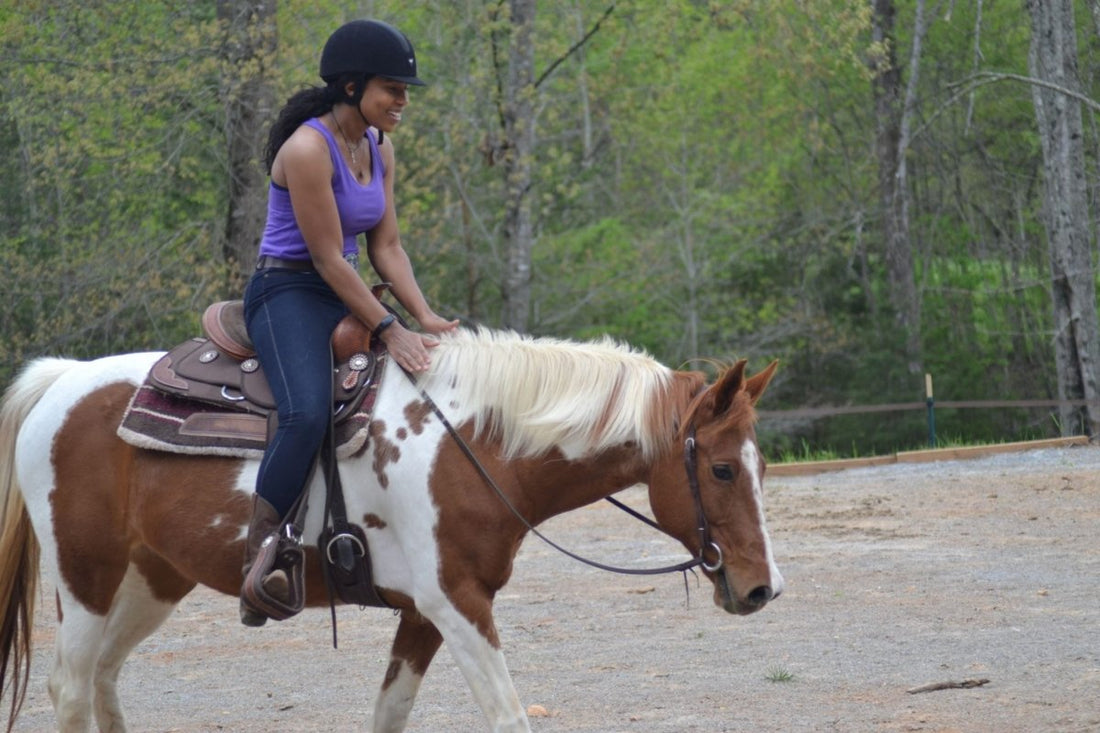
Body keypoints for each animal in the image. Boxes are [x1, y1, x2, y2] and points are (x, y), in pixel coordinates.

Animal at [0, 325, 783, 730]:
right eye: (721, 469)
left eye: (761, 463)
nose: (761, 589)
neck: (473, 444)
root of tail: (63, 380)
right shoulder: (456, 603)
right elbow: (508, 716)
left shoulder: (423, 614)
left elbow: (389, 715)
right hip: (87, 578)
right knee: (71, 689)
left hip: (151, 581)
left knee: (103, 679)